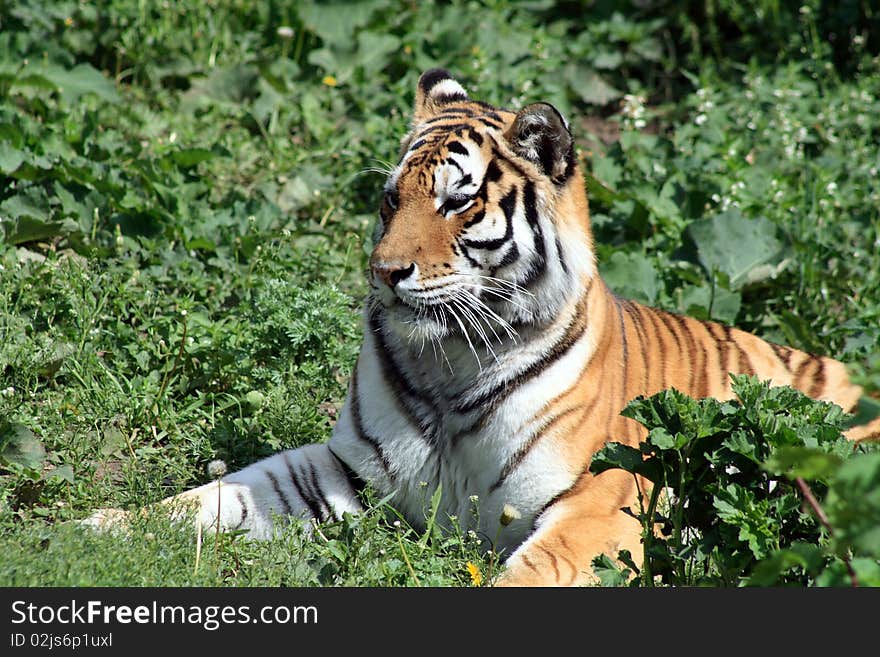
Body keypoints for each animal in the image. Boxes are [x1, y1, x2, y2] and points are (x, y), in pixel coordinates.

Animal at [87, 69, 880, 588]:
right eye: (391, 199)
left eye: (458, 203)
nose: (384, 272)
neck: (448, 364)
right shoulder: (350, 470)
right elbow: (219, 494)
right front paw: (100, 528)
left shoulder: (603, 496)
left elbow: (536, 571)